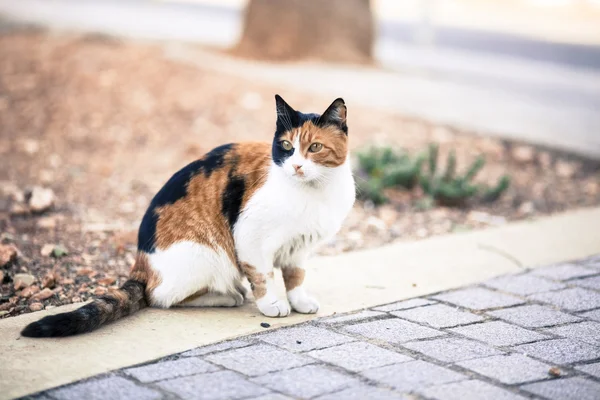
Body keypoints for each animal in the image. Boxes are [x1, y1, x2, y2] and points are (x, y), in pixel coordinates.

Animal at [21, 95, 354, 336]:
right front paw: (272, 304)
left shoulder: (299, 248)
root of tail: (140, 265)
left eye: (315, 147)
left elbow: (295, 276)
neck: (312, 192)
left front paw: (299, 302)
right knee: (161, 297)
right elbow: (264, 275)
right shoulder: (250, 239)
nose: (296, 166)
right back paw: (228, 295)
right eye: (286, 145)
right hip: (208, 255)